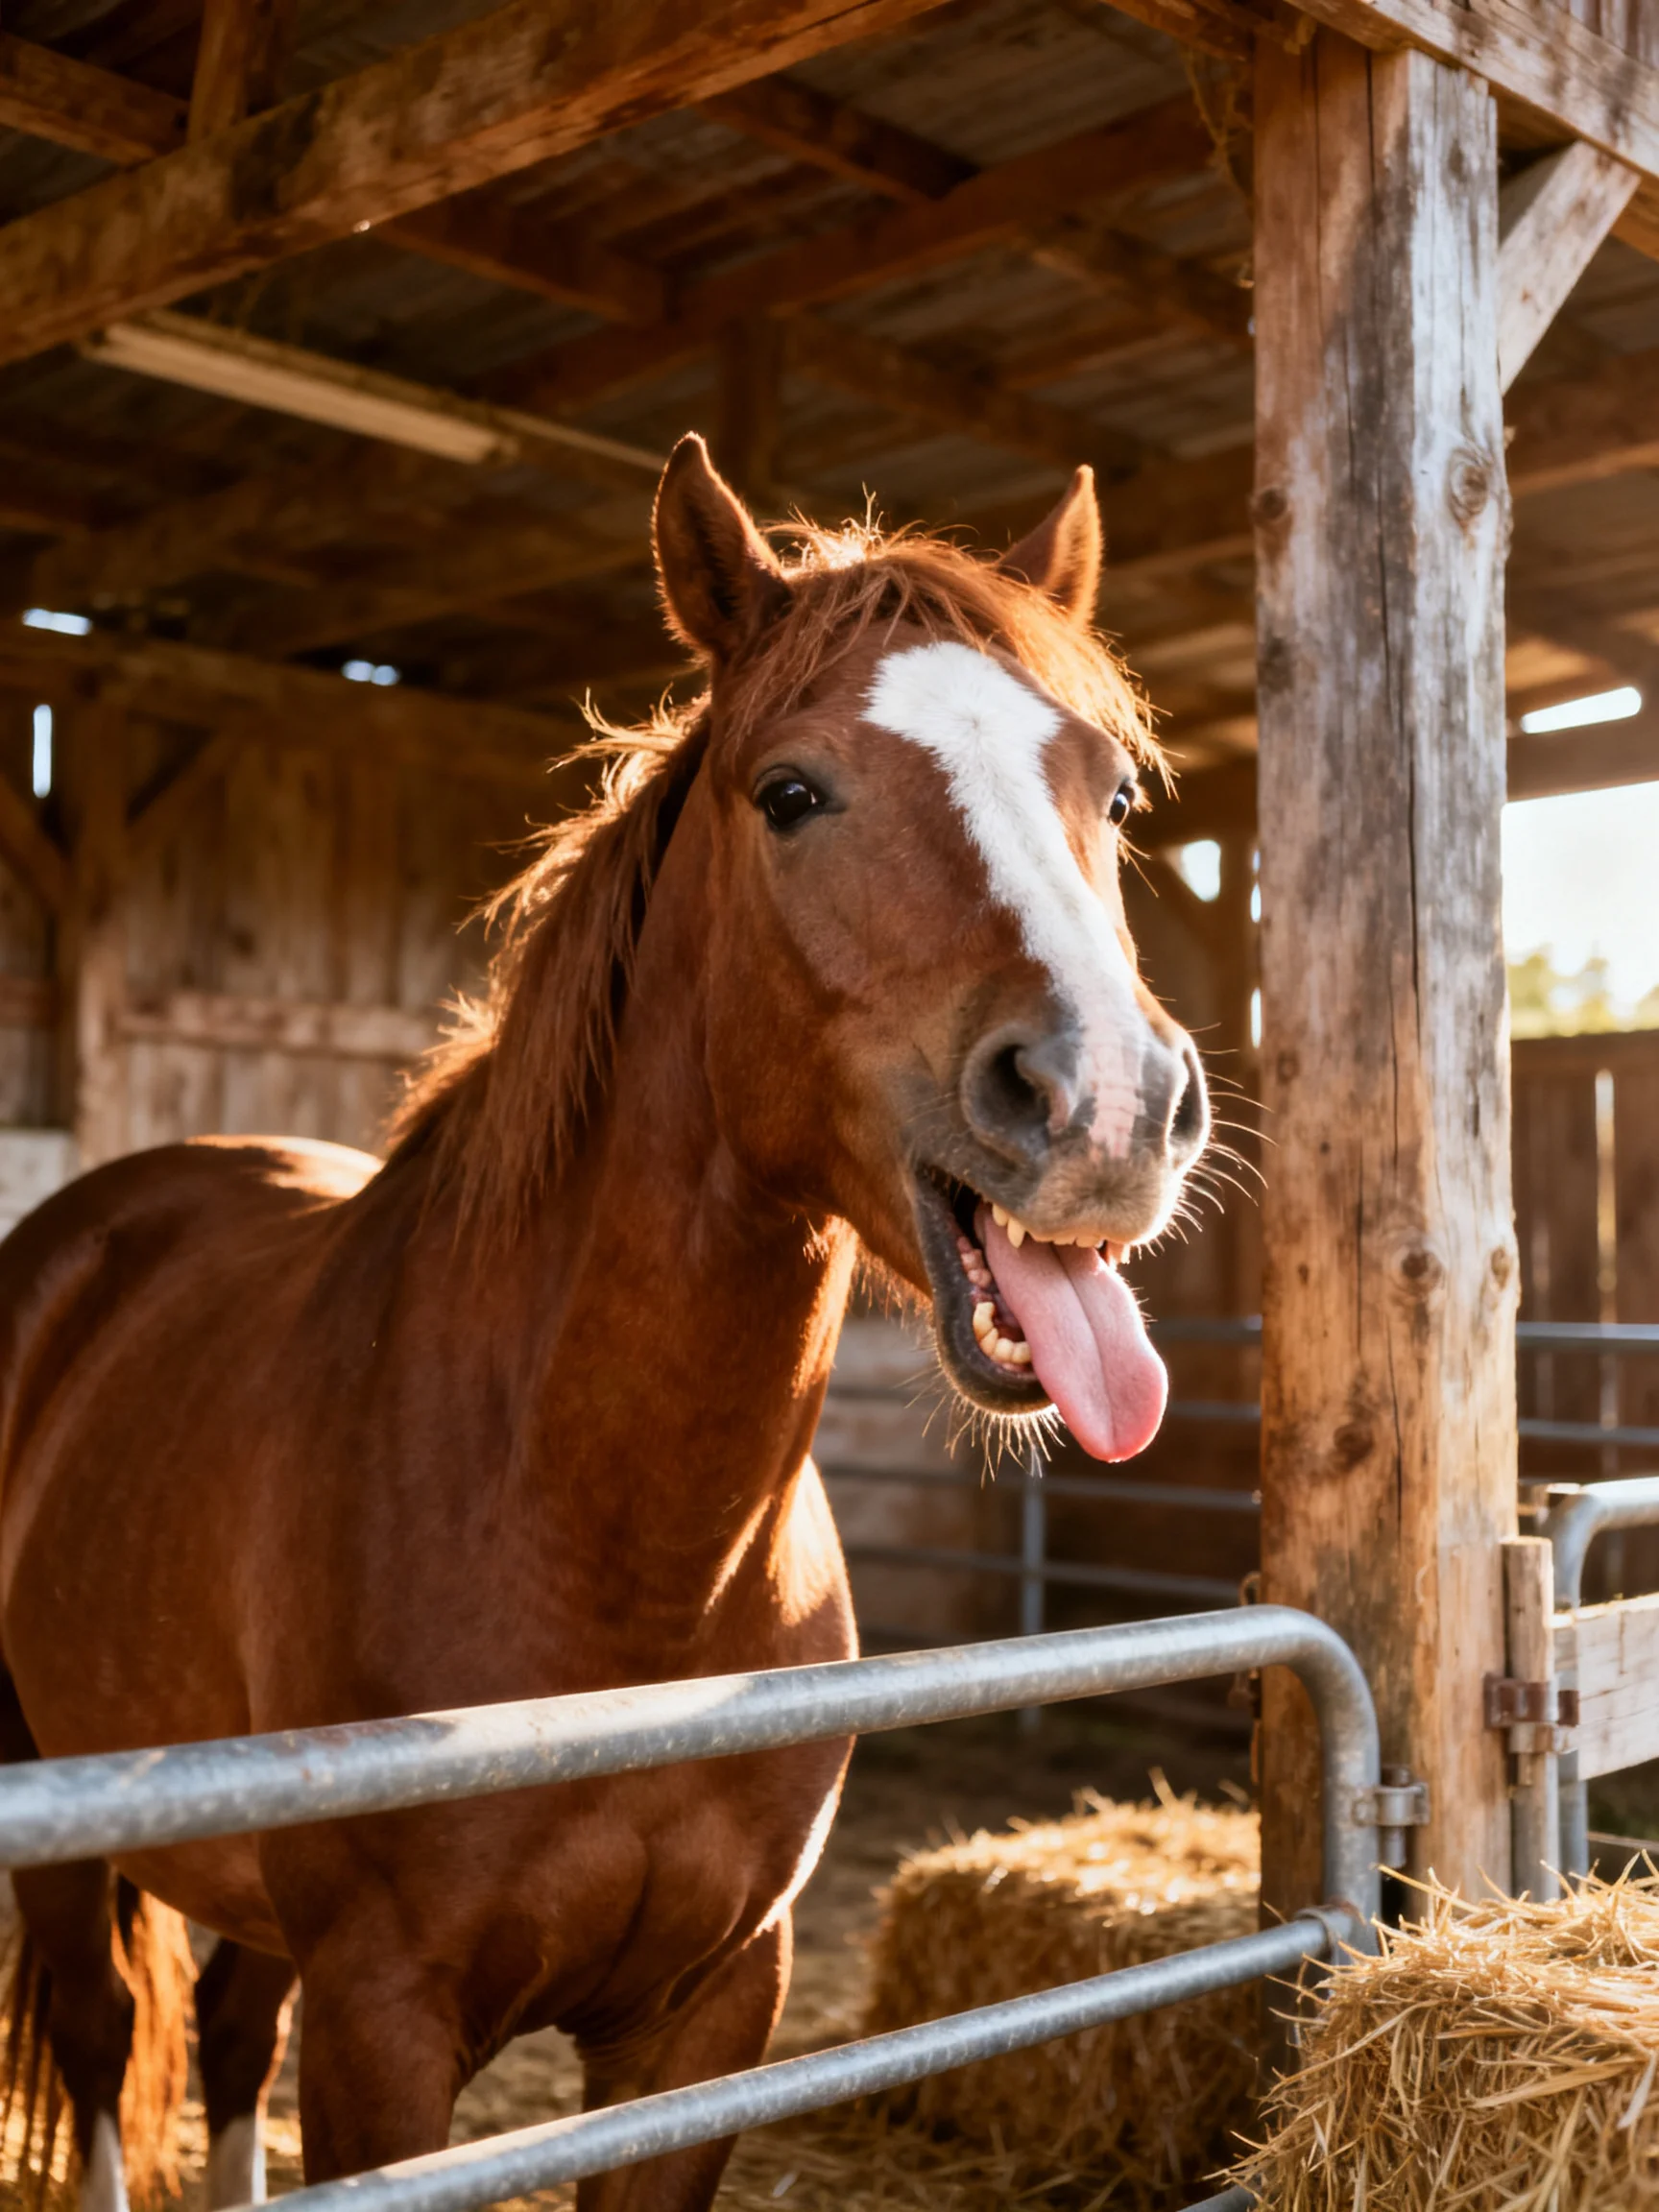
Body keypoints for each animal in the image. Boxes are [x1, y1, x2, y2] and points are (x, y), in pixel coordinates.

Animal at [0, 434, 1207, 2212]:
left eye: (1112, 794)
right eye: (792, 792)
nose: (1108, 1105)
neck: (609, 1547)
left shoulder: (705, 2016)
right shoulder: (383, 2024)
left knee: (221, 2025)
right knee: (99, 2039)